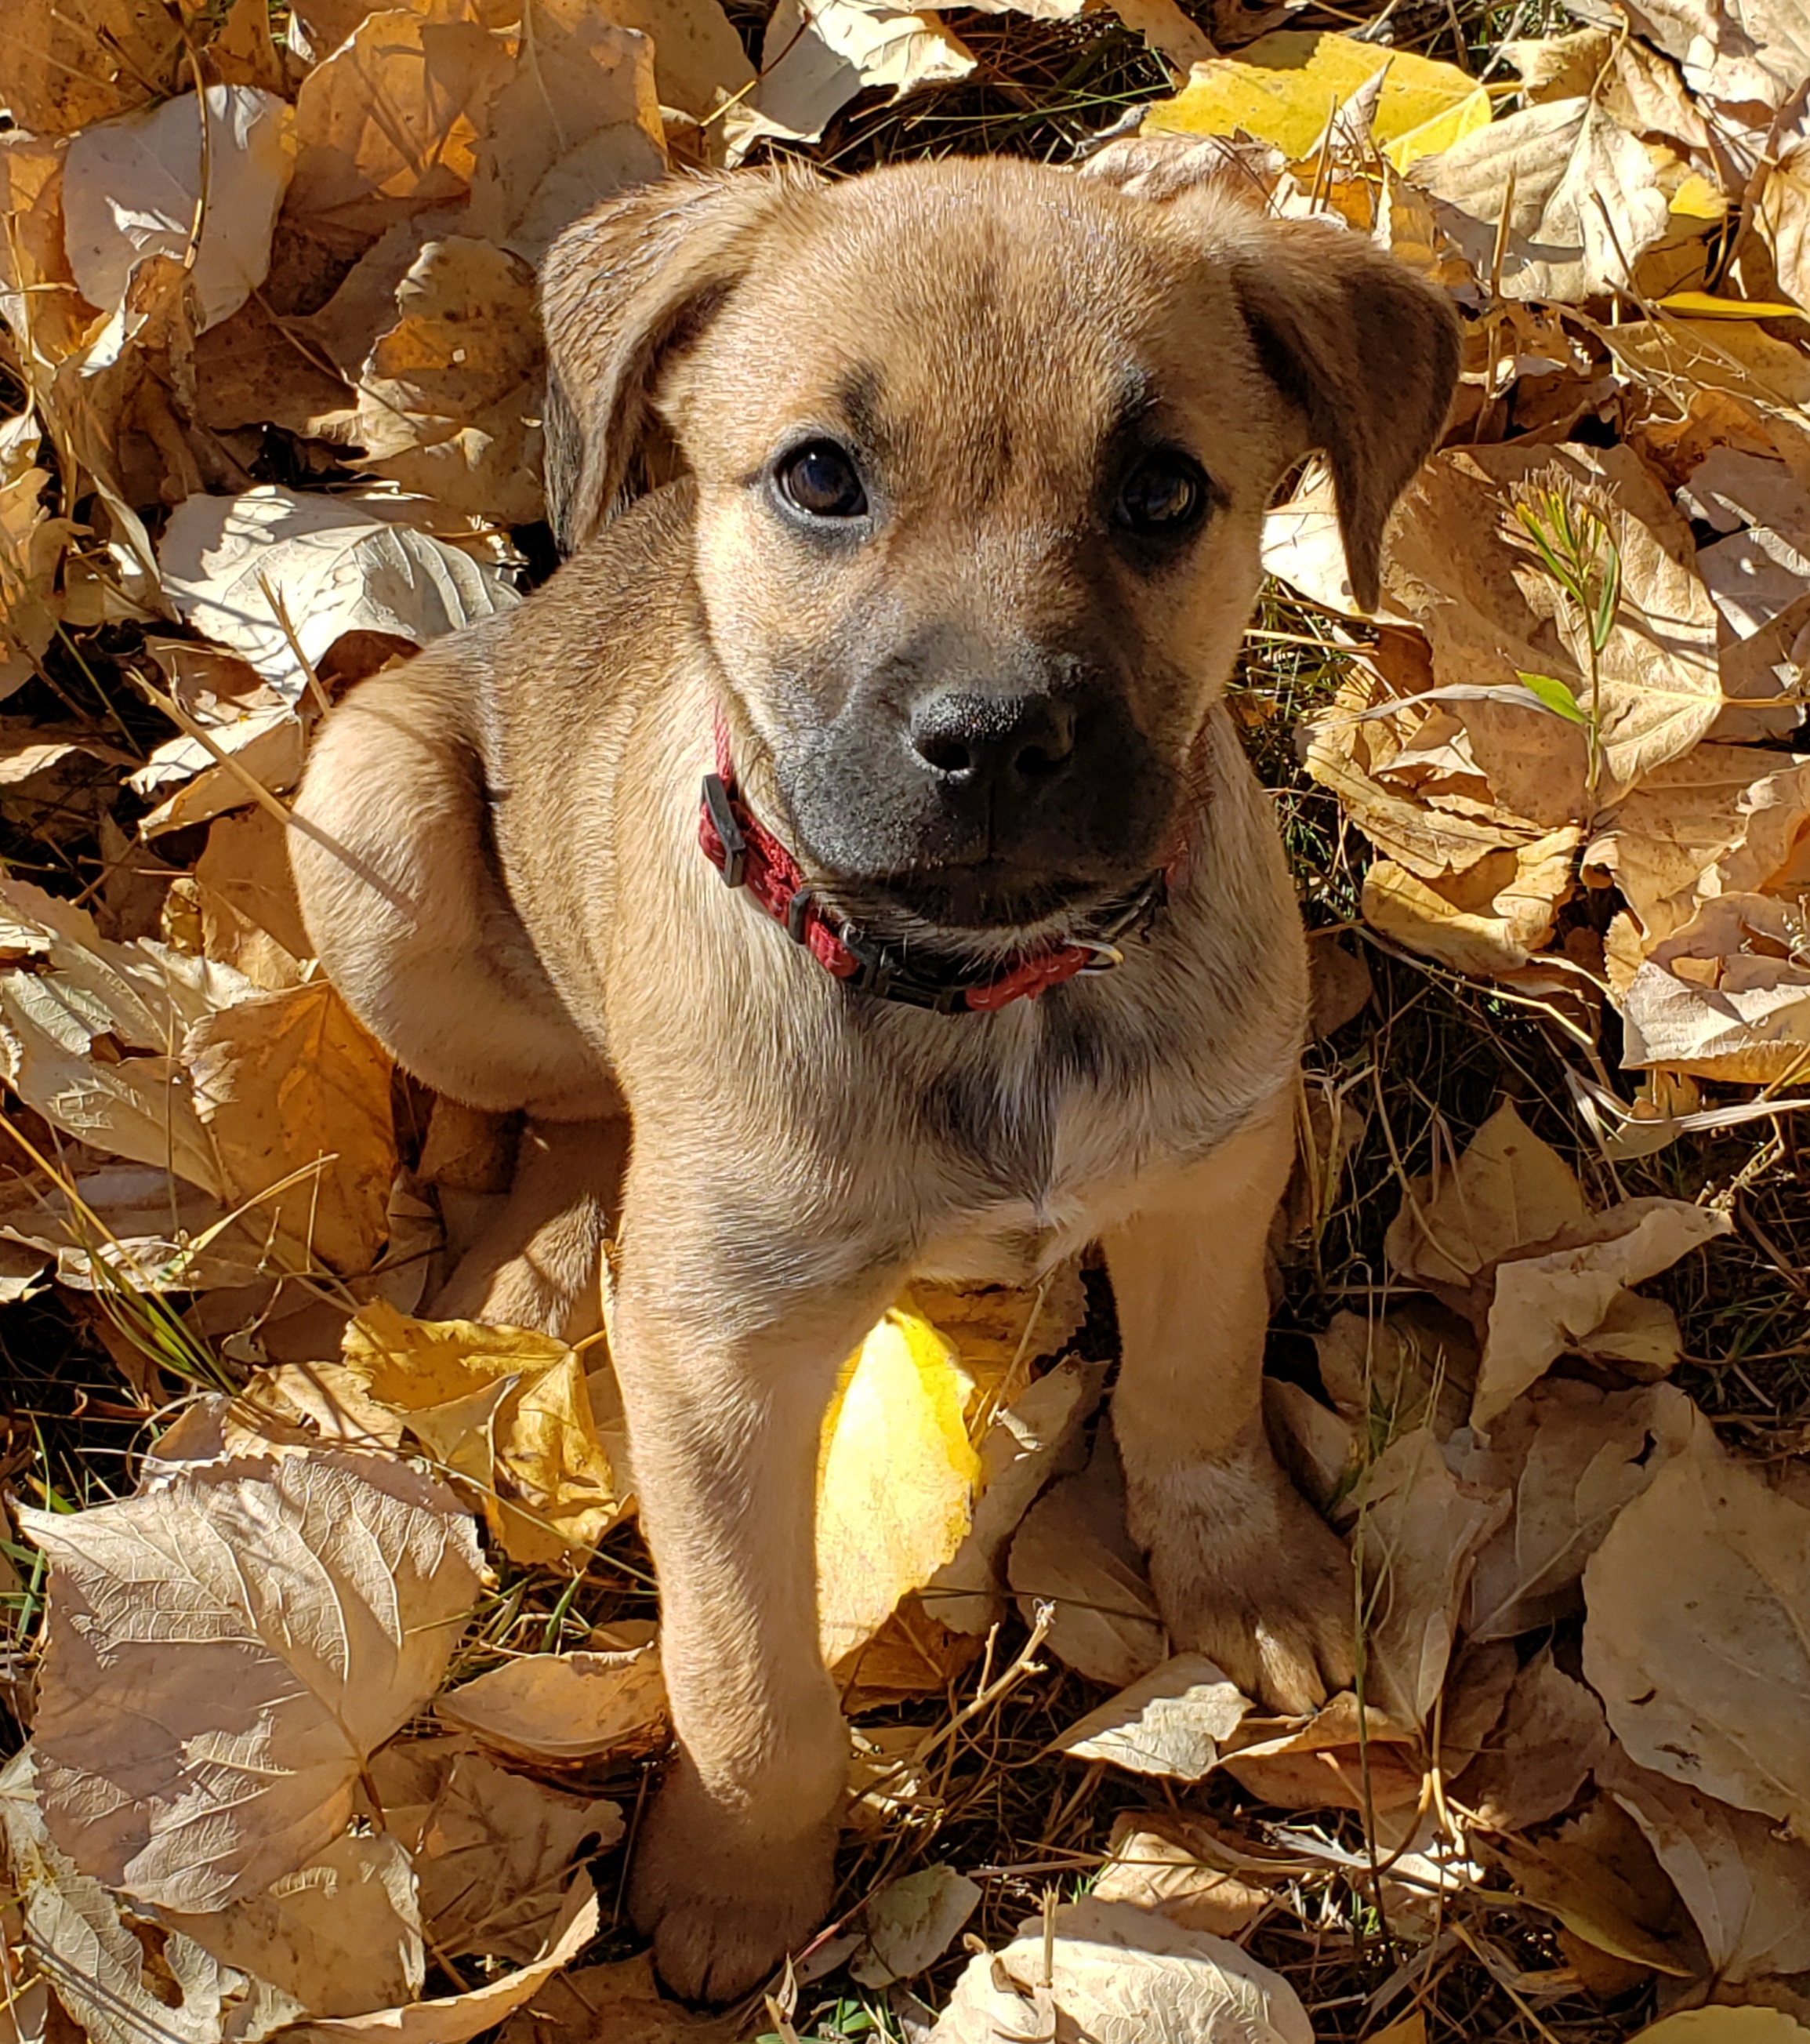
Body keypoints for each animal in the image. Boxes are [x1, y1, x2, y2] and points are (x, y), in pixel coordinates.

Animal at [291, 146, 1459, 2002]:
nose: (992, 741)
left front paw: (1246, 1569)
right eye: (819, 476)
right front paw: (735, 1877)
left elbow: (1193, 1386)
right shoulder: (719, 1363)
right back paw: (521, 1272)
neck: (981, 996)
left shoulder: (1210, 1167)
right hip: (376, 827)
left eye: (1159, 492)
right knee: (567, 1108)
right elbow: (744, 1677)